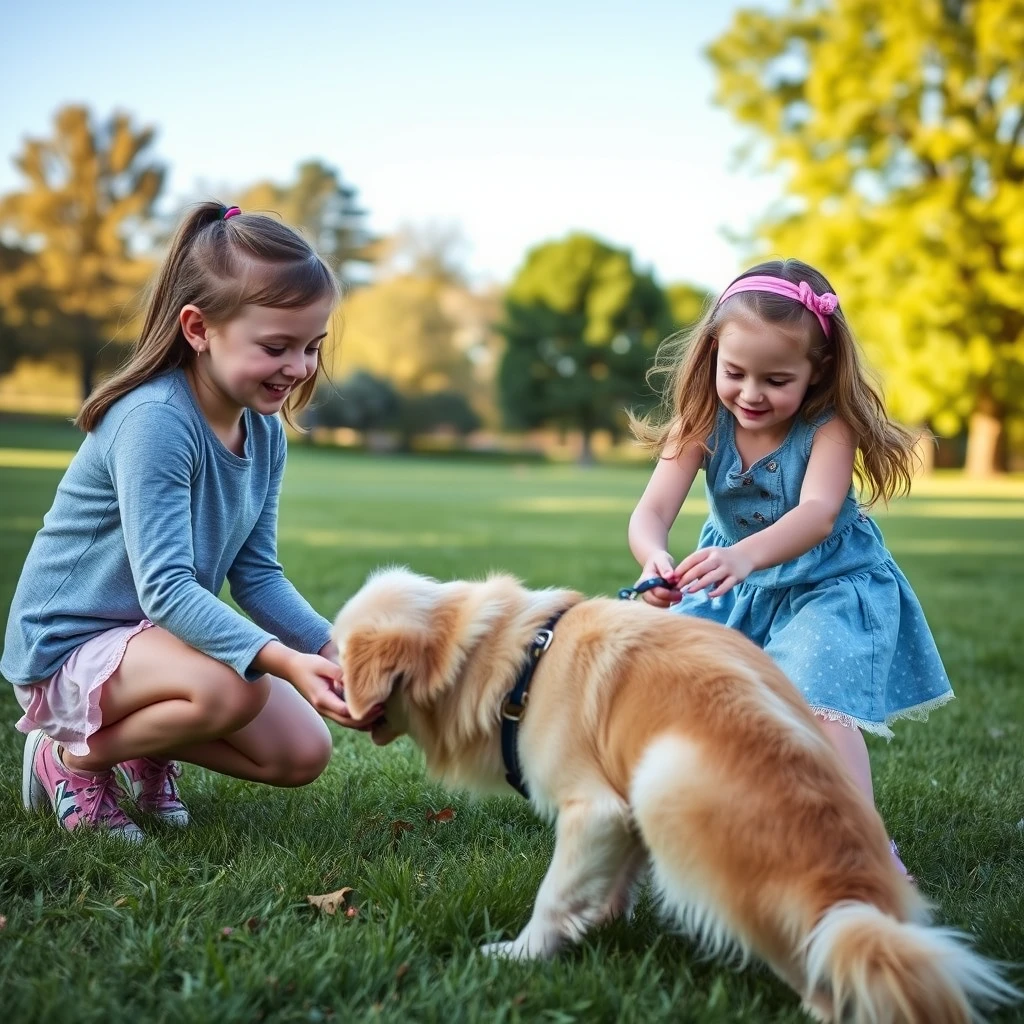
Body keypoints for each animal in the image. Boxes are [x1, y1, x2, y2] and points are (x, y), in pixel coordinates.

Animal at [331, 573, 1011, 1019]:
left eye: (338, 650)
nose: (326, 677)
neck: (521, 659)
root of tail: (847, 898)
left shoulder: (595, 809)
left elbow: (555, 892)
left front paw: (523, 953)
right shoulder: (622, 804)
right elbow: (607, 882)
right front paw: (597, 922)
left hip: (666, 777)